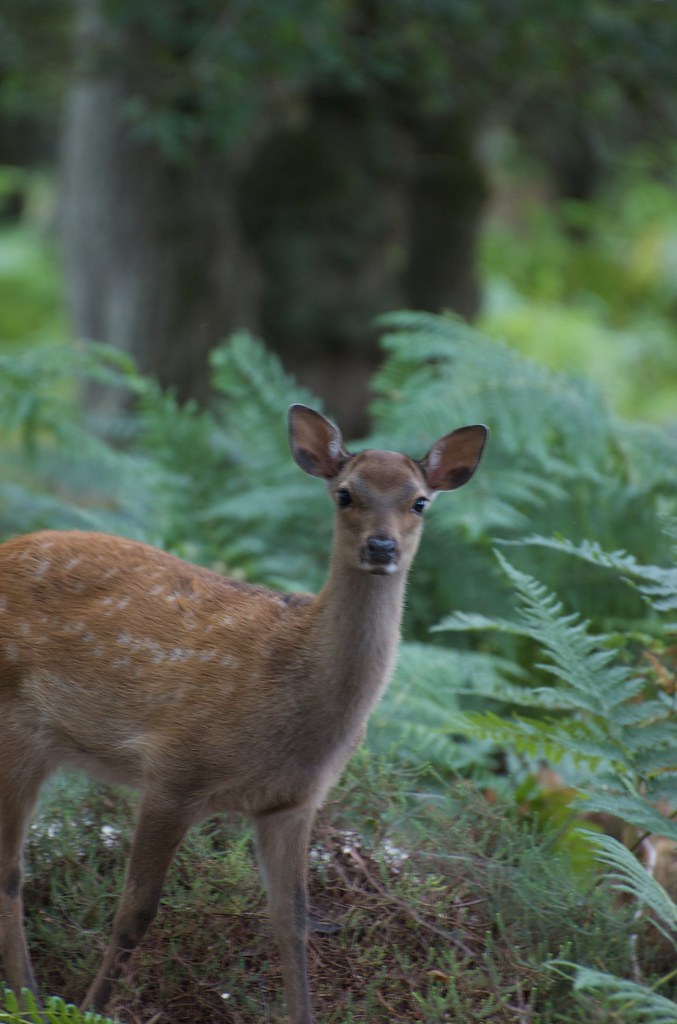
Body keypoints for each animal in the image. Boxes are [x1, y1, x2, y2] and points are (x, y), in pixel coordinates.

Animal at [0, 404, 487, 1023]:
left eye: (419, 501)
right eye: (345, 494)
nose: (382, 548)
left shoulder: (293, 803)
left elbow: (293, 924)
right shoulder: (174, 771)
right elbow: (135, 912)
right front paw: (90, 1009)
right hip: (16, 728)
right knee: (10, 871)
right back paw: (29, 999)